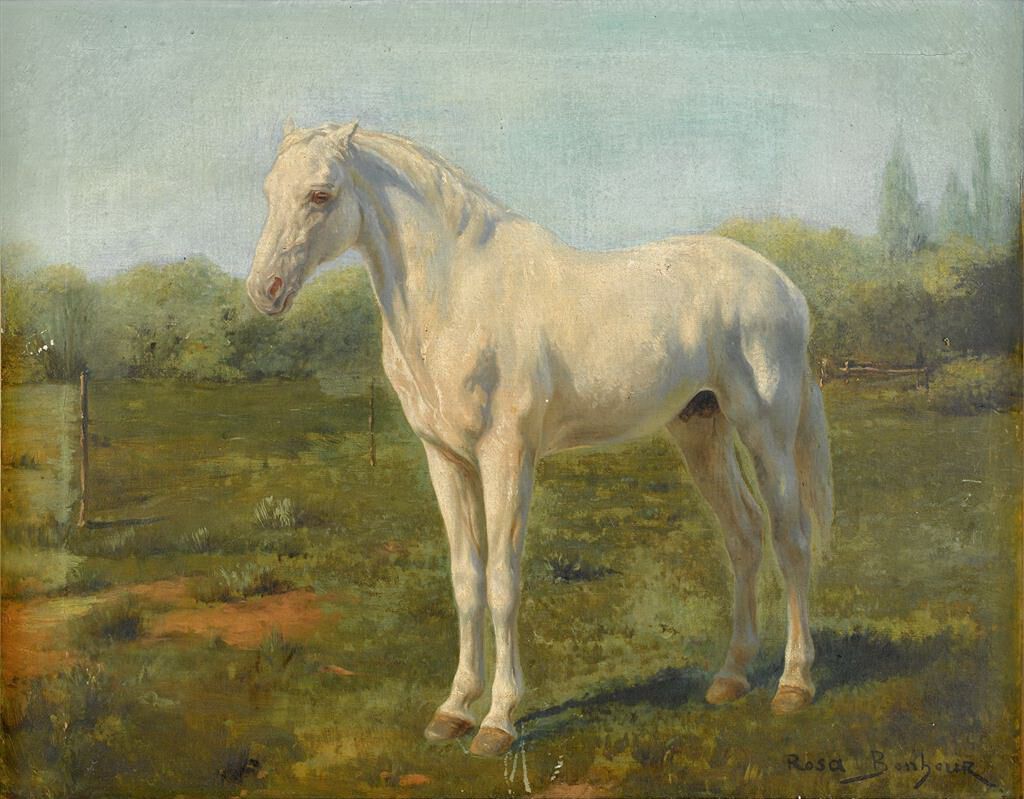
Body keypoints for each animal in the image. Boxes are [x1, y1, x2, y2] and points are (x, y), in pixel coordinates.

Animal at [246, 120, 833, 758]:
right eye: (269, 192)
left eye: (320, 195)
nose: (264, 290)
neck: (457, 293)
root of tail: (785, 288)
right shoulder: (445, 459)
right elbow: (466, 579)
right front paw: (453, 710)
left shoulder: (506, 456)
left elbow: (503, 581)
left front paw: (498, 721)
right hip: (700, 429)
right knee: (743, 534)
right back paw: (730, 677)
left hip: (765, 430)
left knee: (791, 539)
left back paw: (794, 685)